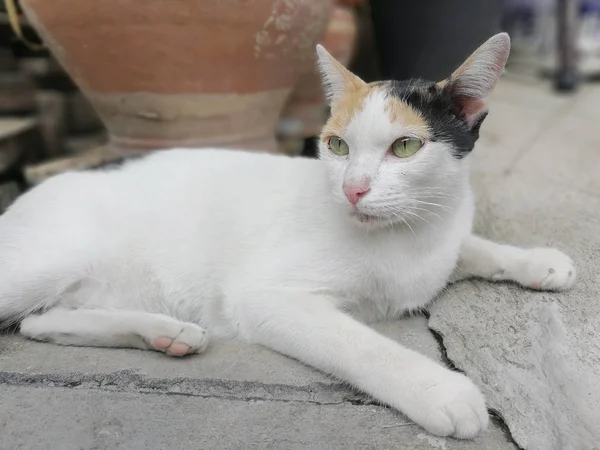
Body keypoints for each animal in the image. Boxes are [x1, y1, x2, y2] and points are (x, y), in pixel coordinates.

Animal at [0, 32, 576, 440]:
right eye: (338, 146)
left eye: (406, 146)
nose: (353, 189)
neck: (410, 234)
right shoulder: (267, 298)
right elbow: (361, 345)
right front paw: (440, 389)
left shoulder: (443, 241)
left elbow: (474, 248)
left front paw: (540, 262)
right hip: (38, 265)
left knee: (40, 322)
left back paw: (166, 333)